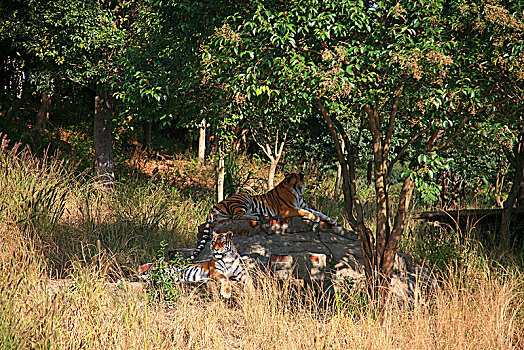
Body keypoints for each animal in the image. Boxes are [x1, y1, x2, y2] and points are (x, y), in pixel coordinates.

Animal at [190, 171, 338, 258]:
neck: (298, 190)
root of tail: (214, 206)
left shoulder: (302, 205)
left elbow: (319, 212)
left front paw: (331, 221)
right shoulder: (290, 209)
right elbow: (308, 213)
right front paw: (316, 218)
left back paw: (260, 215)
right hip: (244, 198)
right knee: (237, 216)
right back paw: (256, 217)